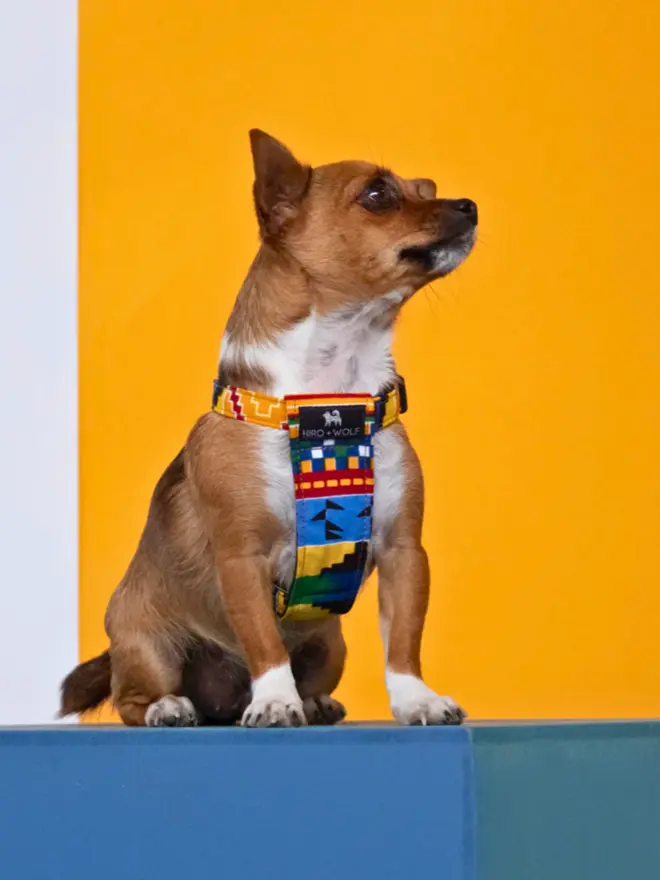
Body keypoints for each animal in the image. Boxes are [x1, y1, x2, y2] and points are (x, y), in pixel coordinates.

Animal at [60, 131, 474, 728]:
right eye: (377, 195)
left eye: (427, 188)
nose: (469, 205)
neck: (329, 405)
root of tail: (219, 702)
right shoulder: (242, 560)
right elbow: (263, 642)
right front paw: (277, 700)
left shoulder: (404, 552)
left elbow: (403, 640)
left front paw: (416, 698)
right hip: (146, 645)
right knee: (130, 698)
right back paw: (171, 705)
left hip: (331, 643)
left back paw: (315, 702)